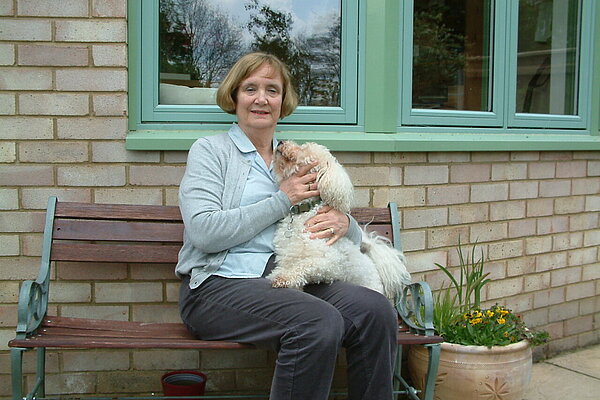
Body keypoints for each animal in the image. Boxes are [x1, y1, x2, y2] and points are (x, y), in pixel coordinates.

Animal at [268, 141, 412, 300]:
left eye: (304, 148)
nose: (281, 142)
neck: (303, 213)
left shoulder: (329, 262)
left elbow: (305, 265)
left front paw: (284, 278)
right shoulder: (287, 258)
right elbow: (287, 270)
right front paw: (279, 276)